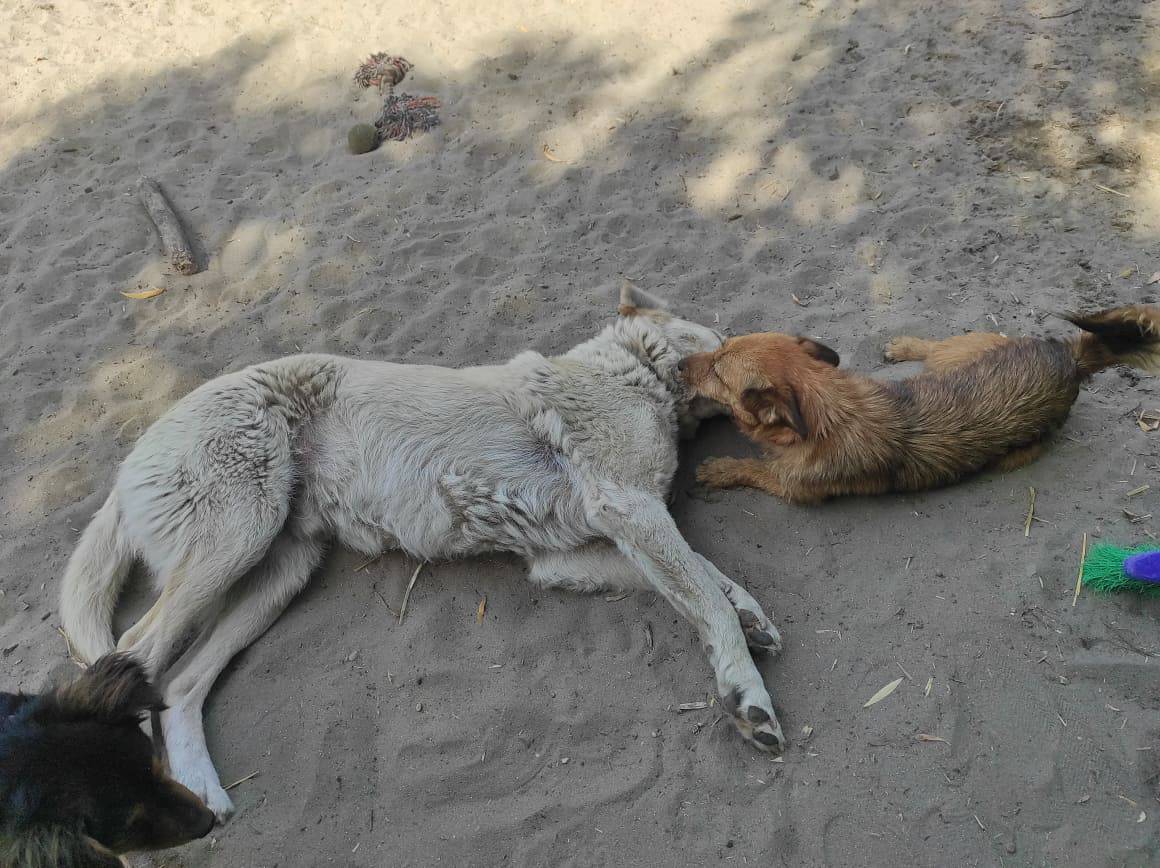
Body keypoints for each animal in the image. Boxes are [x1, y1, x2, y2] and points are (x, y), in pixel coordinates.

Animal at [63, 284, 788, 821]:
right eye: (728, 345)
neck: (631, 370)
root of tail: (131, 460)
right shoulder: (630, 507)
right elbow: (704, 595)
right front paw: (747, 696)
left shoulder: (568, 555)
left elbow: (710, 580)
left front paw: (751, 616)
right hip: (237, 539)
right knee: (127, 651)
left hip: (277, 574)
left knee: (178, 685)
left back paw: (203, 795)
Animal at [677, 304, 1160, 501]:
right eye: (719, 347)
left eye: (717, 369)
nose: (679, 364)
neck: (828, 407)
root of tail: (1069, 361)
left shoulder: (790, 486)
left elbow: (756, 470)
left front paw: (720, 469)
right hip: (965, 353)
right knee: (934, 349)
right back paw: (903, 346)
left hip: (1014, 445)